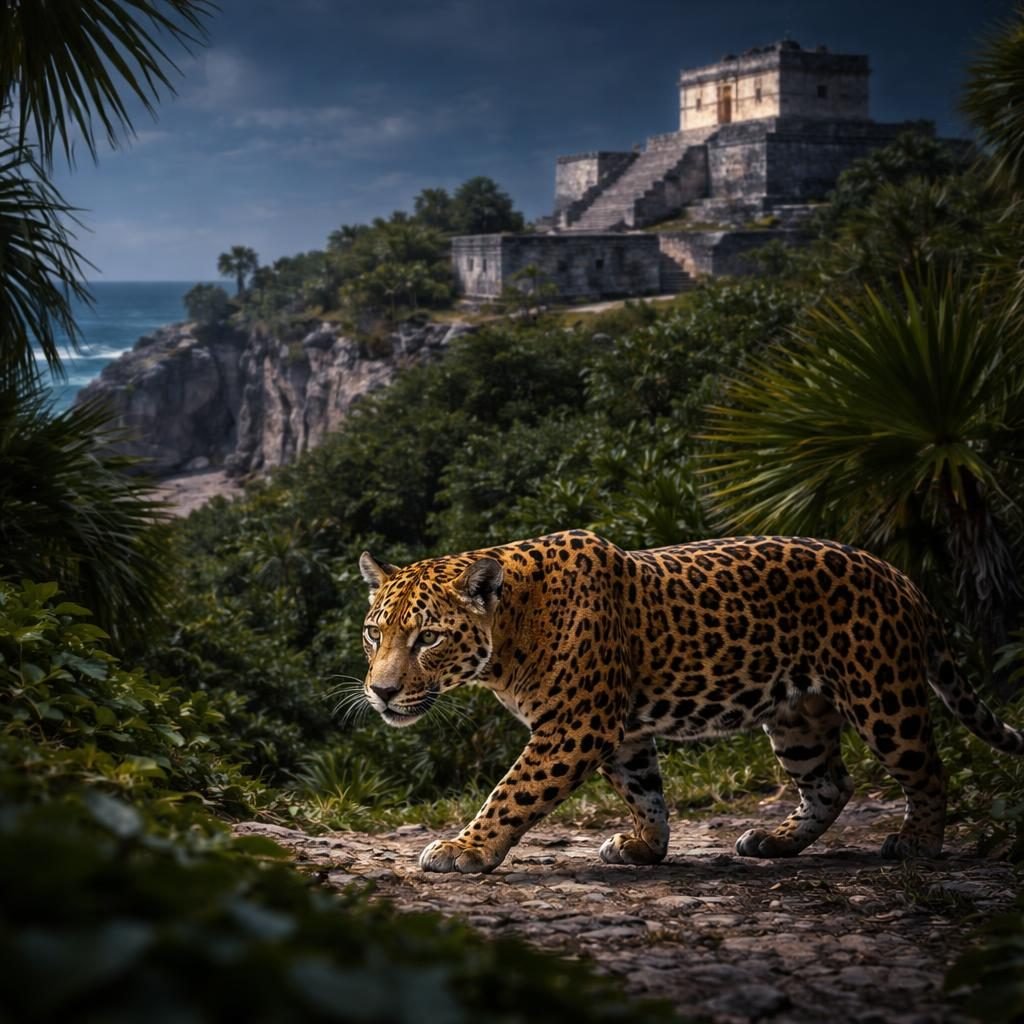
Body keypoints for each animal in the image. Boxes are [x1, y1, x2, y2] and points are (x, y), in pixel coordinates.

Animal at [357, 530, 1024, 874]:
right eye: (373, 634)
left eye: (429, 638)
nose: (380, 692)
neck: (513, 629)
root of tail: (900, 576)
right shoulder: (620, 733)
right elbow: (644, 792)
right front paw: (646, 847)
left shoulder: (574, 725)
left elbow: (513, 791)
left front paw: (464, 849)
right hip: (798, 717)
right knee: (831, 783)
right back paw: (775, 842)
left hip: (881, 695)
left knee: (928, 770)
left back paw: (919, 844)